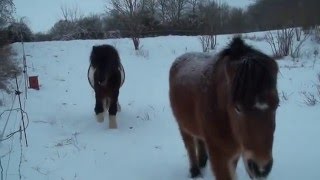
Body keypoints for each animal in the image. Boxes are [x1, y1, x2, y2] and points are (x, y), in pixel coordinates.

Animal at [170, 37, 278, 180]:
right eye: (237, 108)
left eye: (277, 104)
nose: (261, 168)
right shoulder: (219, 155)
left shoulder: (234, 153)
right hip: (182, 125)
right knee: (190, 145)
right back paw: (195, 171)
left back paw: (202, 161)